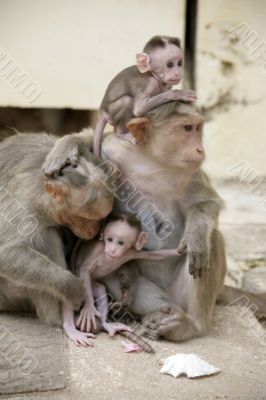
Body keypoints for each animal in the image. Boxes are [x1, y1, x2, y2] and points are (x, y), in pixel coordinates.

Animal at [0, 130, 113, 328]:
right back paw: (64, 318)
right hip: (6, 295)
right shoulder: (25, 208)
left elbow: (93, 135)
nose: (92, 232)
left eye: (100, 219)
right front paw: (74, 289)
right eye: (86, 219)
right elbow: (6, 253)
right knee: (48, 236)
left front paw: (64, 148)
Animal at [62, 212, 179, 346]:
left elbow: (154, 255)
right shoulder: (98, 251)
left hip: (92, 284)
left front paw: (180, 250)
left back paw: (106, 325)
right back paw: (71, 329)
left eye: (121, 242)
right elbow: (85, 270)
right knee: (73, 287)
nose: (112, 249)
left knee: (101, 290)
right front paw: (89, 308)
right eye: (109, 239)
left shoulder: (132, 252)